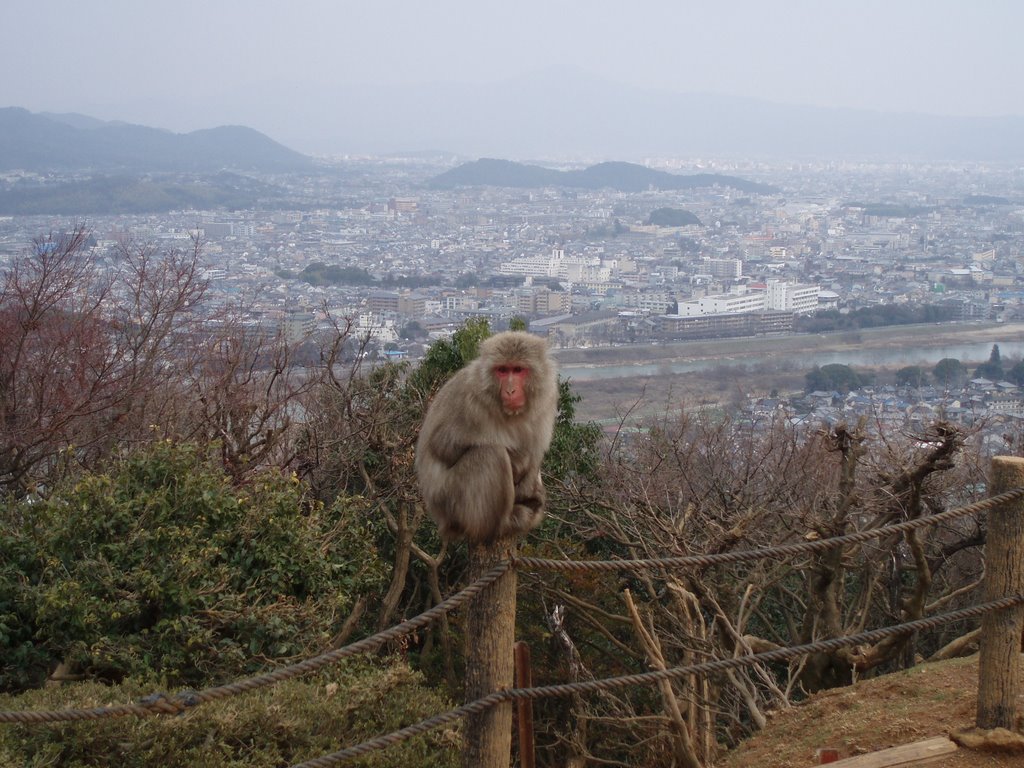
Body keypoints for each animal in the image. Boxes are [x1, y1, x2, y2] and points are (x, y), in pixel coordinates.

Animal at [415, 329, 561, 540]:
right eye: (502, 370)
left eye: (518, 370)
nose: (510, 390)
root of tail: (442, 522)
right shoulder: (471, 402)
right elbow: (443, 446)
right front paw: (518, 460)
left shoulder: (547, 398)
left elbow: (535, 452)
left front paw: (530, 490)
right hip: (451, 502)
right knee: (490, 454)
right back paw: (503, 524)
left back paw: (529, 502)